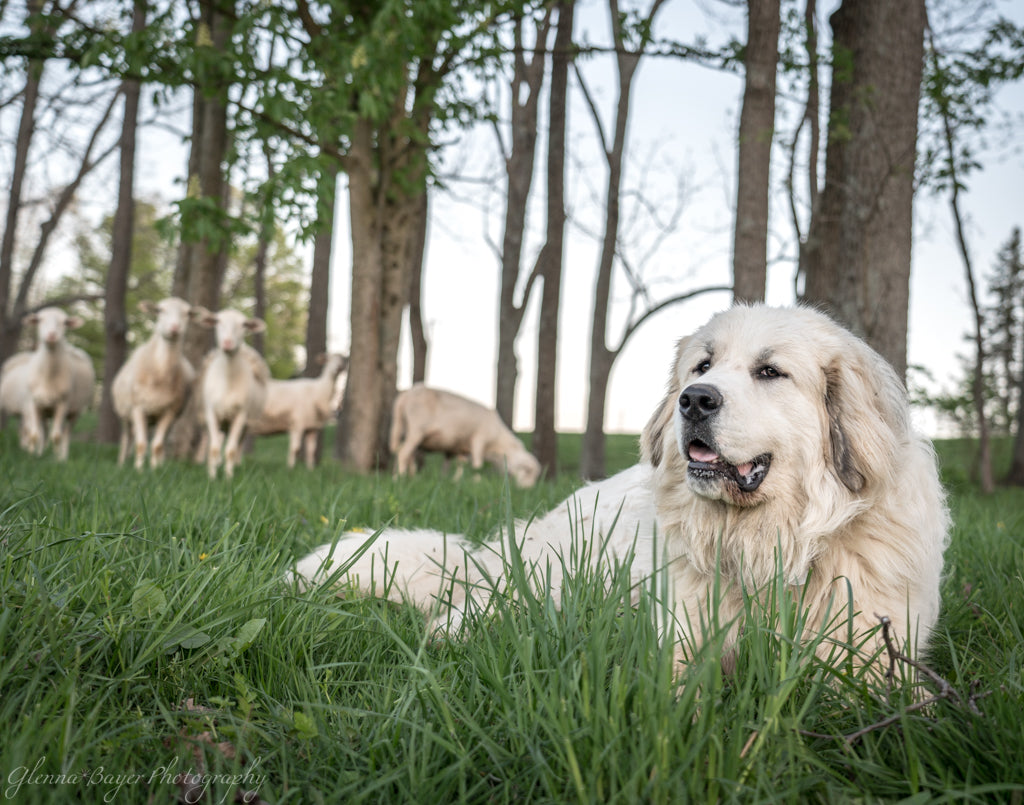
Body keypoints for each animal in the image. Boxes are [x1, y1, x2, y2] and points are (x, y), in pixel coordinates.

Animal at [0, 306, 95, 460]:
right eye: (40, 320)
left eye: (65, 322)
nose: (51, 335)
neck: (48, 377)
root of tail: (73, 348)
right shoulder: (33, 403)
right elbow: (34, 435)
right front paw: (32, 457)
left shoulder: (63, 404)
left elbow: (56, 436)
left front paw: (55, 461)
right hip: (43, 409)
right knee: (42, 432)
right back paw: (40, 453)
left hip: (75, 412)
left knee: (66, 434)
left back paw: (63, 458)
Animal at [112, 297, 199, 470]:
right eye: (160, 310)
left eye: (187, 313)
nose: (175, 328)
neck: (160, 373)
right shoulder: (137, 408)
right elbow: (140, 444)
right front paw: (138, 470)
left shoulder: (169, 412)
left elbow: (157, 445)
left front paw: (154, 470)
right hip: (126, 415)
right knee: (127, 439)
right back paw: (121, 463)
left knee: (162, 443)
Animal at [196, 308, 269, 479]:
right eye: (217, 321)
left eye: (244, 325)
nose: (227, 343)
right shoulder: (211, 412)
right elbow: (214, 448)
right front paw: (212, 477)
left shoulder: (240, 415)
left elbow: (230, 450)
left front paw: (228, 478)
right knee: (211, 440)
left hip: (247, 422)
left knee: (238, 446)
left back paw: (236, 465)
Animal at [390, 383, 541, 487]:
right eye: (528, 472)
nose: (527, 490)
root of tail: (405, 395)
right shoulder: (479, 439)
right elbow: (477, 464)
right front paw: (476, 483)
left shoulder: (458, 447)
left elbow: (457, 465)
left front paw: (451, 481)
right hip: (417, 429)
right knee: (403, 453)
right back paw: (400, 479)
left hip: (403, 429)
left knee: (405, 453)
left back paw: (410, 478)